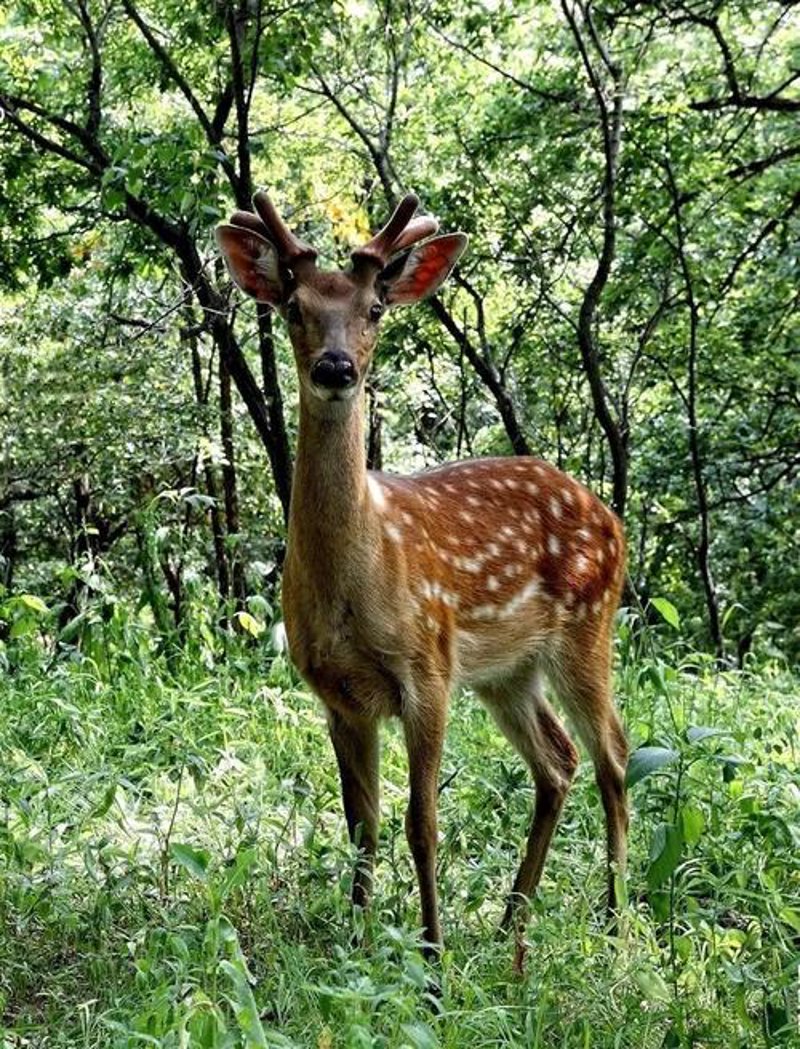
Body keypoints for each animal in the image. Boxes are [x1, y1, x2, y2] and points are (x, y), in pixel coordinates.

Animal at [215, 191, 629, 954]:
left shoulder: (427, 670)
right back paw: (511, 921)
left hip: (588, 627)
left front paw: (434, 954)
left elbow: (421, 824)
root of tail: (610, 515)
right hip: (505, 670)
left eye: (376, 306)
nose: (336, 368)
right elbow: (362, 825)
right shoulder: (339, 695)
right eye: (294, 306)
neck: (360, 579)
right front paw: (355, 941)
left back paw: (615, 918)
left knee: (613, 752)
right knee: (558, 760)